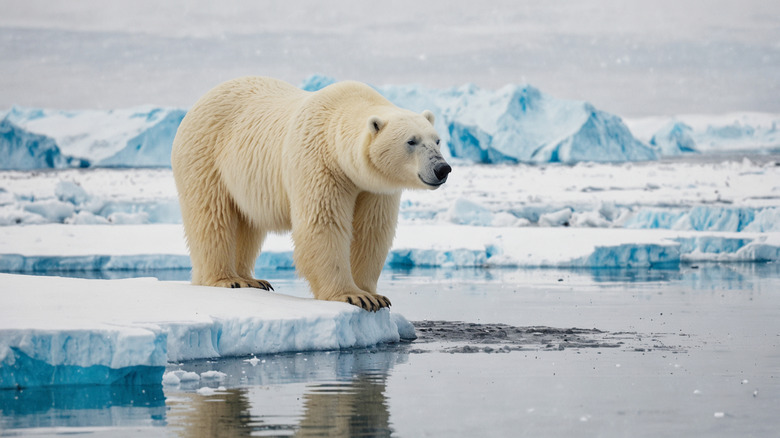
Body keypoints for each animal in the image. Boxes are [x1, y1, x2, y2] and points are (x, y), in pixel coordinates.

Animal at [171, 77, 450, 311]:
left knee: (247, 223)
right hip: (206, 156)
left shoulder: (374, 187)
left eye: (437, 140)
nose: (442, 168)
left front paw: (374, 294)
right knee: (212, 215)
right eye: (411, 141)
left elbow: (371, 231)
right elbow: (323, 224)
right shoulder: (320, 163)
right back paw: (228, 279)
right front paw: (353, 296)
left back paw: (252, 279)